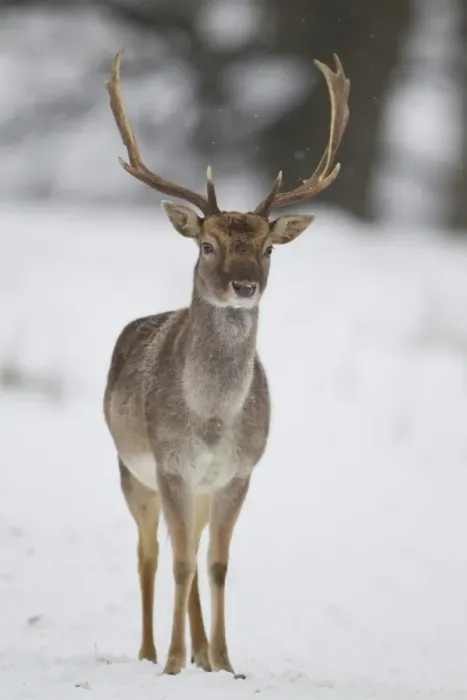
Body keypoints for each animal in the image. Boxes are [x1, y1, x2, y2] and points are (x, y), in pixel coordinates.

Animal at [103, 49, 350, 677]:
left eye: (267, 248)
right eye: (206, 245)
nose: (244, 286)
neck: (213, 422)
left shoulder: (239, 472)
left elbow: (214, 566)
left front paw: (225, 661)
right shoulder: (170, 465)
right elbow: (179, 564)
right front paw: (171, 663)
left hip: (200, 490)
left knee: (188, 553)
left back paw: (202, 656)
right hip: (131, 472)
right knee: (149, 553)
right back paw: (148, 652)